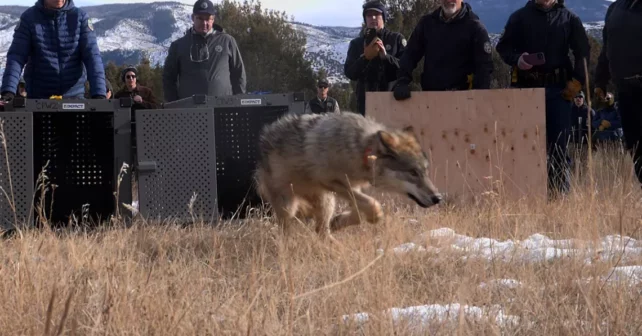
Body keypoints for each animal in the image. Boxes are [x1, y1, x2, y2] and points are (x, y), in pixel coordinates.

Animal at [252, 111, 442, 240]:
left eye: (425, 171)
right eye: (413, 172)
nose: (438, 198)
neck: (361, 149)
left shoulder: (353, 187)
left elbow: (359, 212)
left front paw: (339, 222)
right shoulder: (333, 182)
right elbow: (373, 204)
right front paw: (375, 217)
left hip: (327, 202)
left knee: (321, 231)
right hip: (289, 206)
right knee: (287, 230)